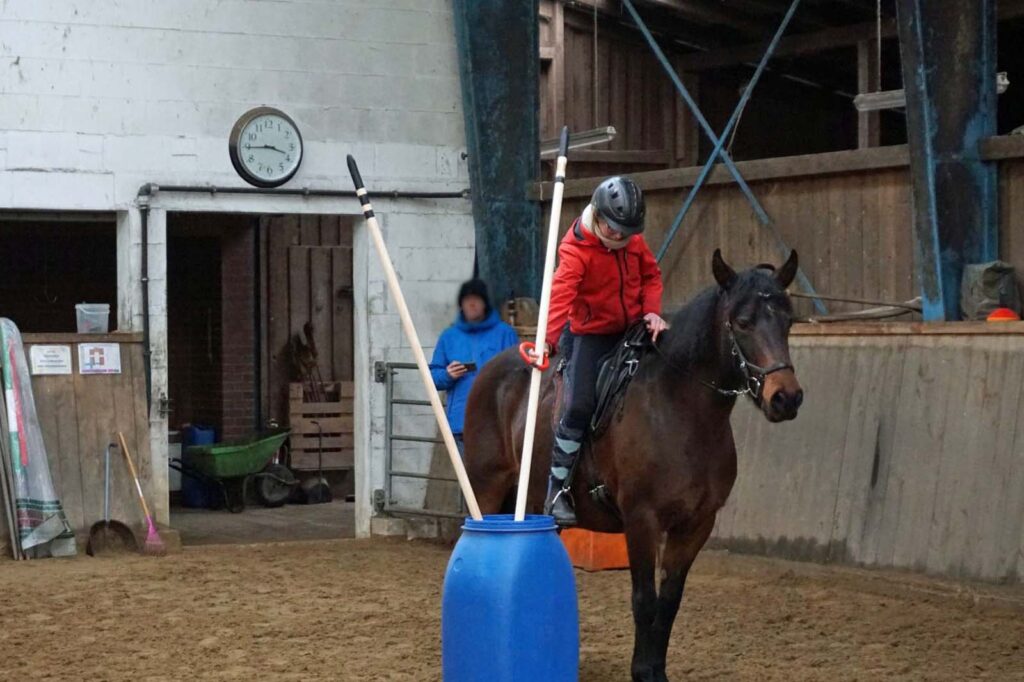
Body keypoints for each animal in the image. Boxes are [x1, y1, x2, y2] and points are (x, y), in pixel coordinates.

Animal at [464, 249, 806, 679]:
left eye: (788, 320)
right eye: (742, 322)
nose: (786, 398)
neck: (681, 408)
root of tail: (492, 370)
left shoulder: (696, 525)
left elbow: (669, 602)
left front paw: (656, 669)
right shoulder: (642, 520)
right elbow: (644, 600)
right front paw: (642, 670)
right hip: (486, 489)